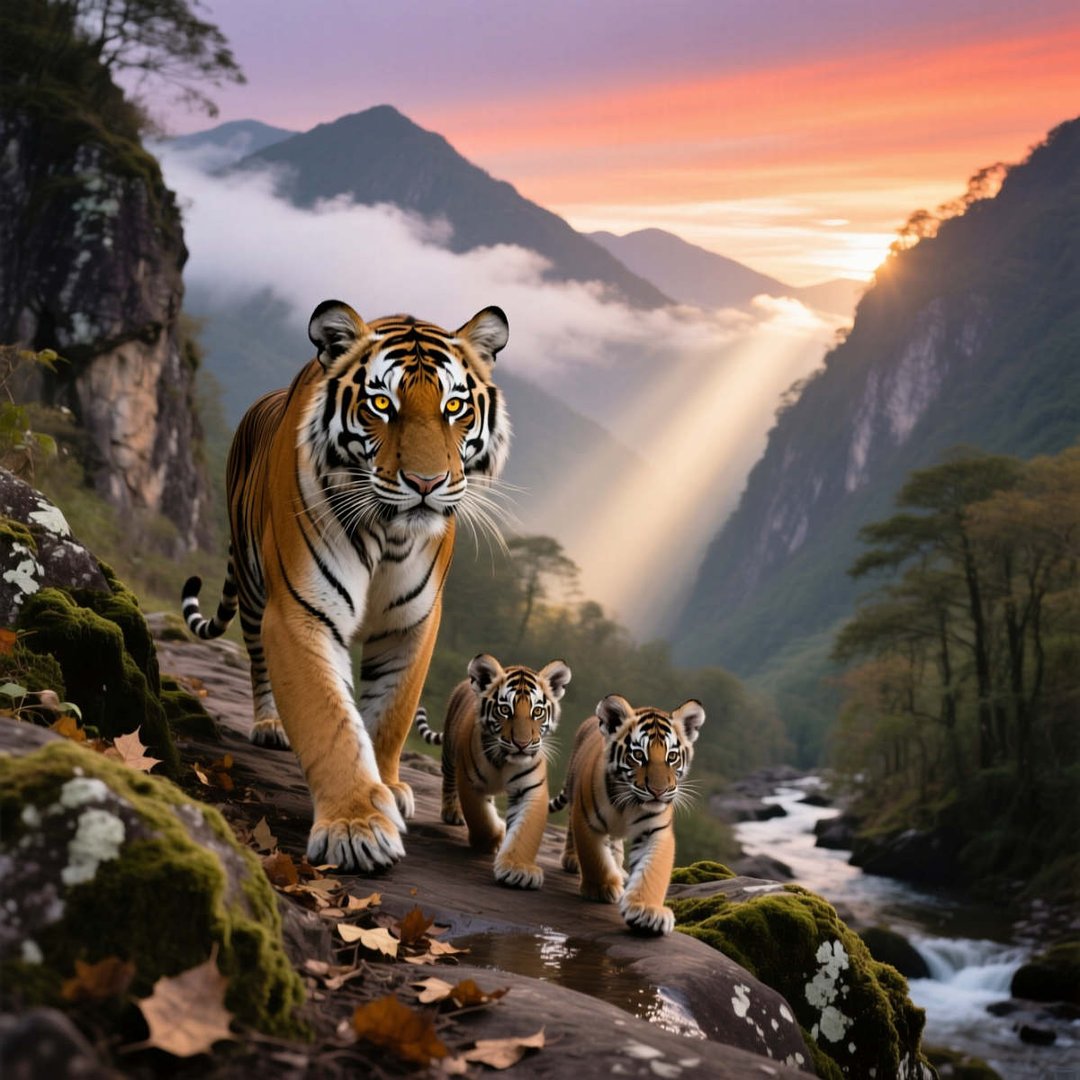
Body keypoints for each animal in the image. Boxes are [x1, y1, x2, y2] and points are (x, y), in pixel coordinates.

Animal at [180, 300, 510, 874]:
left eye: (454, 407)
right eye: (381, 404)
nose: (426, 484)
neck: (391, 533)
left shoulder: (413, 622)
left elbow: (390, 715)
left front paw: (390, 787)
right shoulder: (301, 609)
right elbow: (328, 718)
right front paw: (356, 827)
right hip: (253, 590)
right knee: (258, 662)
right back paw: (269, 725)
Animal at [414, 653, 570, 889]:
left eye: (537, 712)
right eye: (505, 710)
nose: (522, 744)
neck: (504, 760)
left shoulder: (530, 789)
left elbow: (526, 830)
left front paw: (518, 869)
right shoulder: (470, 783)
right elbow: (481, 819)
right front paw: (493, 838)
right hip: (450, 753)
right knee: (448, 781)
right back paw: (452, 812)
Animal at [550, 694, 705, 934]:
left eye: (672, 757)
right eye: (639, 755)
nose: (659, 791)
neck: (629, 803)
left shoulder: (656, 830)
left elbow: (653, 870)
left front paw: (648, 911)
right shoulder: (586, 820)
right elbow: (594, 857)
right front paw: (602, 888)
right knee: (571, 832)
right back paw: (572, 859)